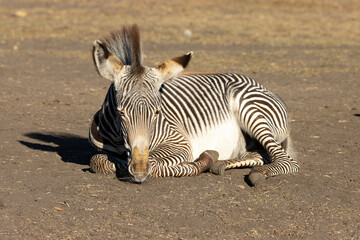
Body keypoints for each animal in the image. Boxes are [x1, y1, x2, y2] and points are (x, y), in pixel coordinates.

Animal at [88, 24, 300, 186]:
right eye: (121, 113)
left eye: (157, 112)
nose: (140, 171)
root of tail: (257, 83)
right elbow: (98, 161)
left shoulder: (179, 142)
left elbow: (154, 164)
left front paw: (197, 164)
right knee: (260, 154)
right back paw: (220, 163)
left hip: (252, 111)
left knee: (286, 161)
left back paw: (255, 172)